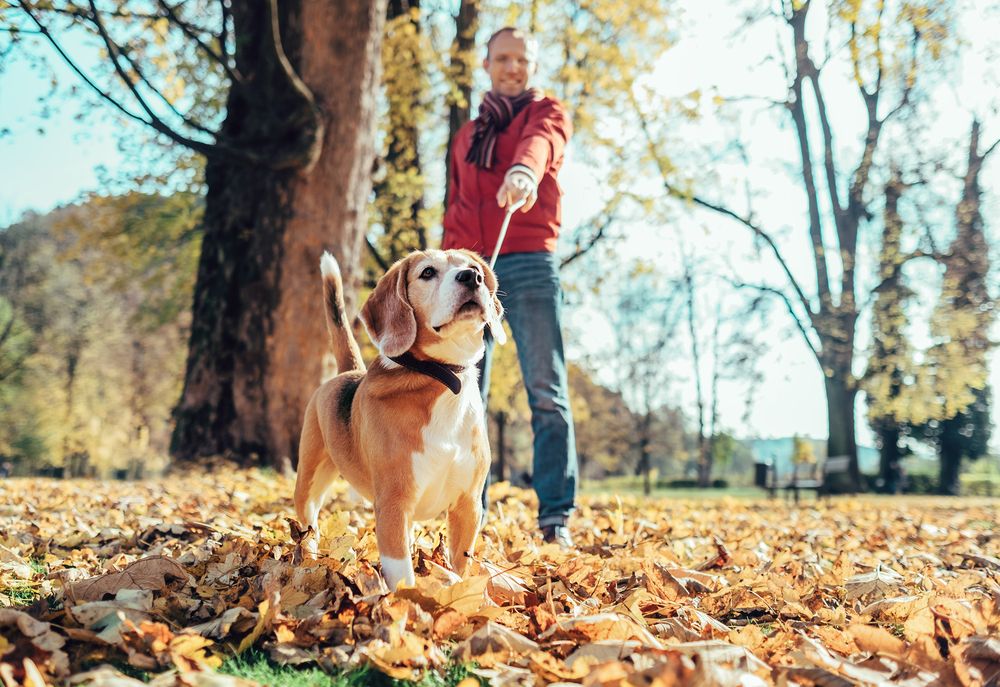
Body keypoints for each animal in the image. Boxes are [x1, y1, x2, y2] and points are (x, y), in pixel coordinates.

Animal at [292, 250, 504, 588]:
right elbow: (402, 576)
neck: (443, 380)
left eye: (473, 267)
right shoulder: (393, 503)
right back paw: (309, 562)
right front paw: (407, 602)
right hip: (309, 481)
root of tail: (349, 372)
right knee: (308, 526)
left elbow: (460, 565)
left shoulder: (468, 505)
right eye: (427, 272)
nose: (472, 277)